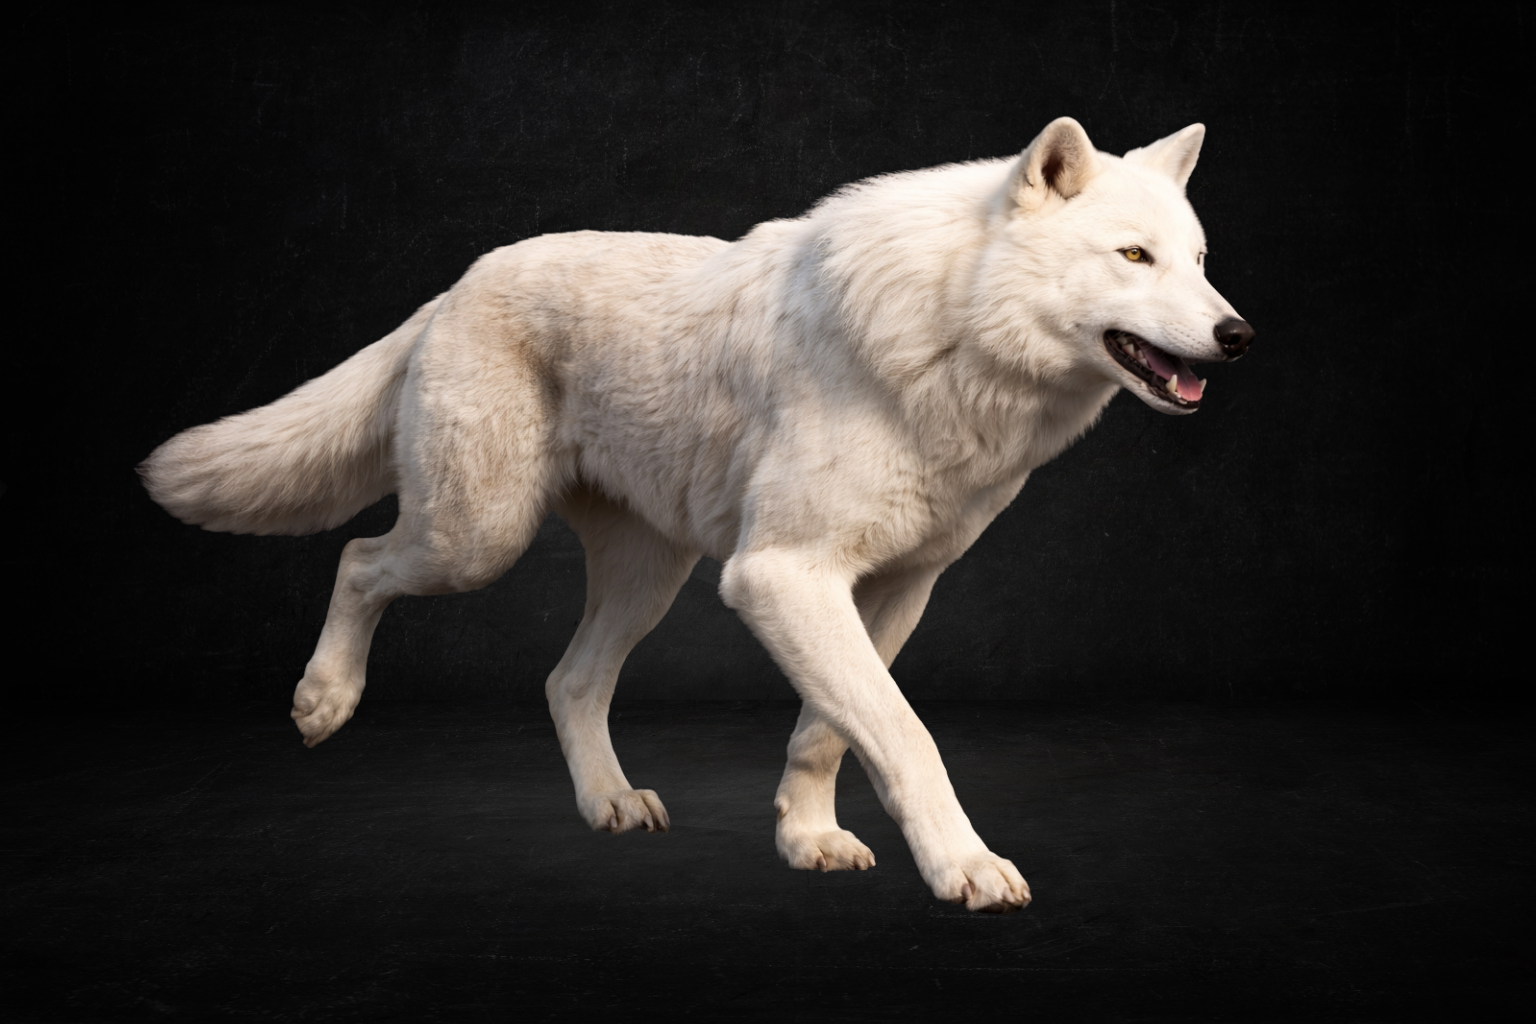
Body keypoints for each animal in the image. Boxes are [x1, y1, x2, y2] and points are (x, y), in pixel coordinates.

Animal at [141, 117, 1253, 913]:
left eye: (1201, 261)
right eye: (1135, 257)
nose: (1239, 335)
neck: (951, 340)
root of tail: (455, 285)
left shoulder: (892, 589)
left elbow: (829, 732)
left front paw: (807, 839)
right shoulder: (781, 574)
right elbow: (905, 734)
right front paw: (964, 868)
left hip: (648, 581)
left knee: (567, 680)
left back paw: (609, 803)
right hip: (477, 538)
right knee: (361, 558)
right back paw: (323, 701)